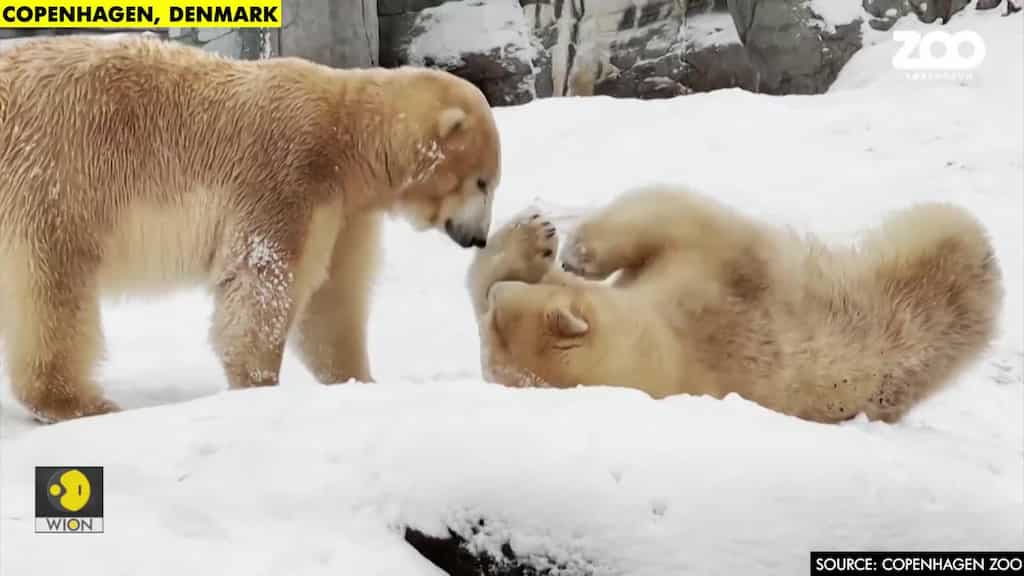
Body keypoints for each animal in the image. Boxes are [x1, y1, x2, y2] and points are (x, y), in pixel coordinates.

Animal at [0, 34, 501, 423]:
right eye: (483, 181)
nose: (478, 237)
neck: (348, 135)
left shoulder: (344, 212)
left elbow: (333, 298)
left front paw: (359, 380)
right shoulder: (288, 175)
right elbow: (263, 280)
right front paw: (260, 385)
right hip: (57, 177)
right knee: (55, 285)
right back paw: (80, 402)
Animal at [467, 184, 1004, 424]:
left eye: (499, 310)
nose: (499, 295)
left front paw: (545, 243)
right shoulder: (713, 291)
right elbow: (683, 216)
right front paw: (557, 243)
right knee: (947, 243)